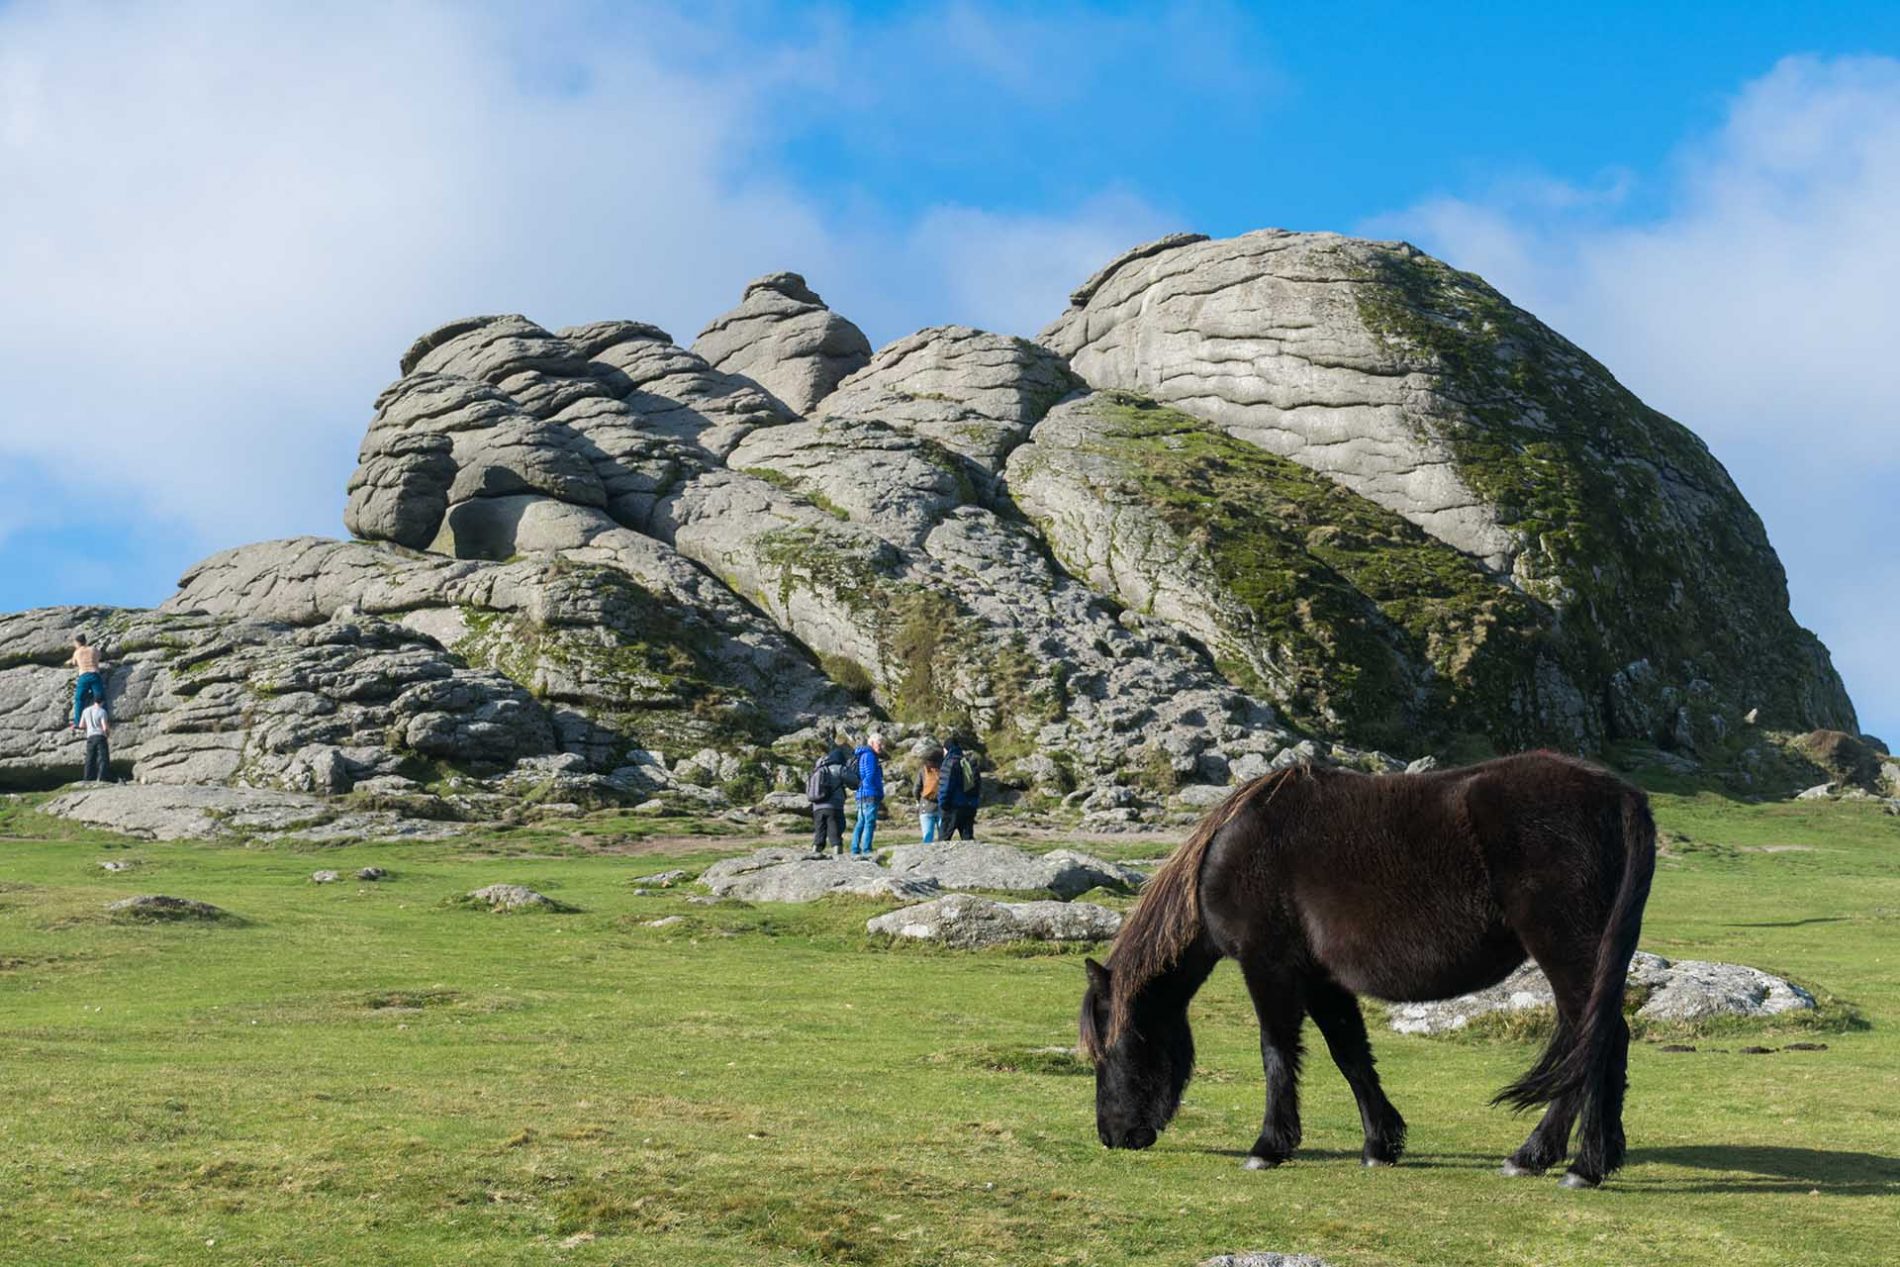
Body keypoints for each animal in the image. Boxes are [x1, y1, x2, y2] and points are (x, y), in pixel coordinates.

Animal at [1086, 752, 1649, 1192]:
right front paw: (1381, 1144)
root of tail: (1619, 796)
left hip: (1567, 953)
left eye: (1115, 1049)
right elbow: (1349, 1053)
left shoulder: (1267, 964)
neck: (1233, 851)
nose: (1112, 1137)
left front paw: (1268, 1147)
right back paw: (1576, 1159)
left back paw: (1562, 1162)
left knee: (1594, 1042)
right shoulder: (1321, 978)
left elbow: (1276, 1051)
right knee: (1593, 1041)